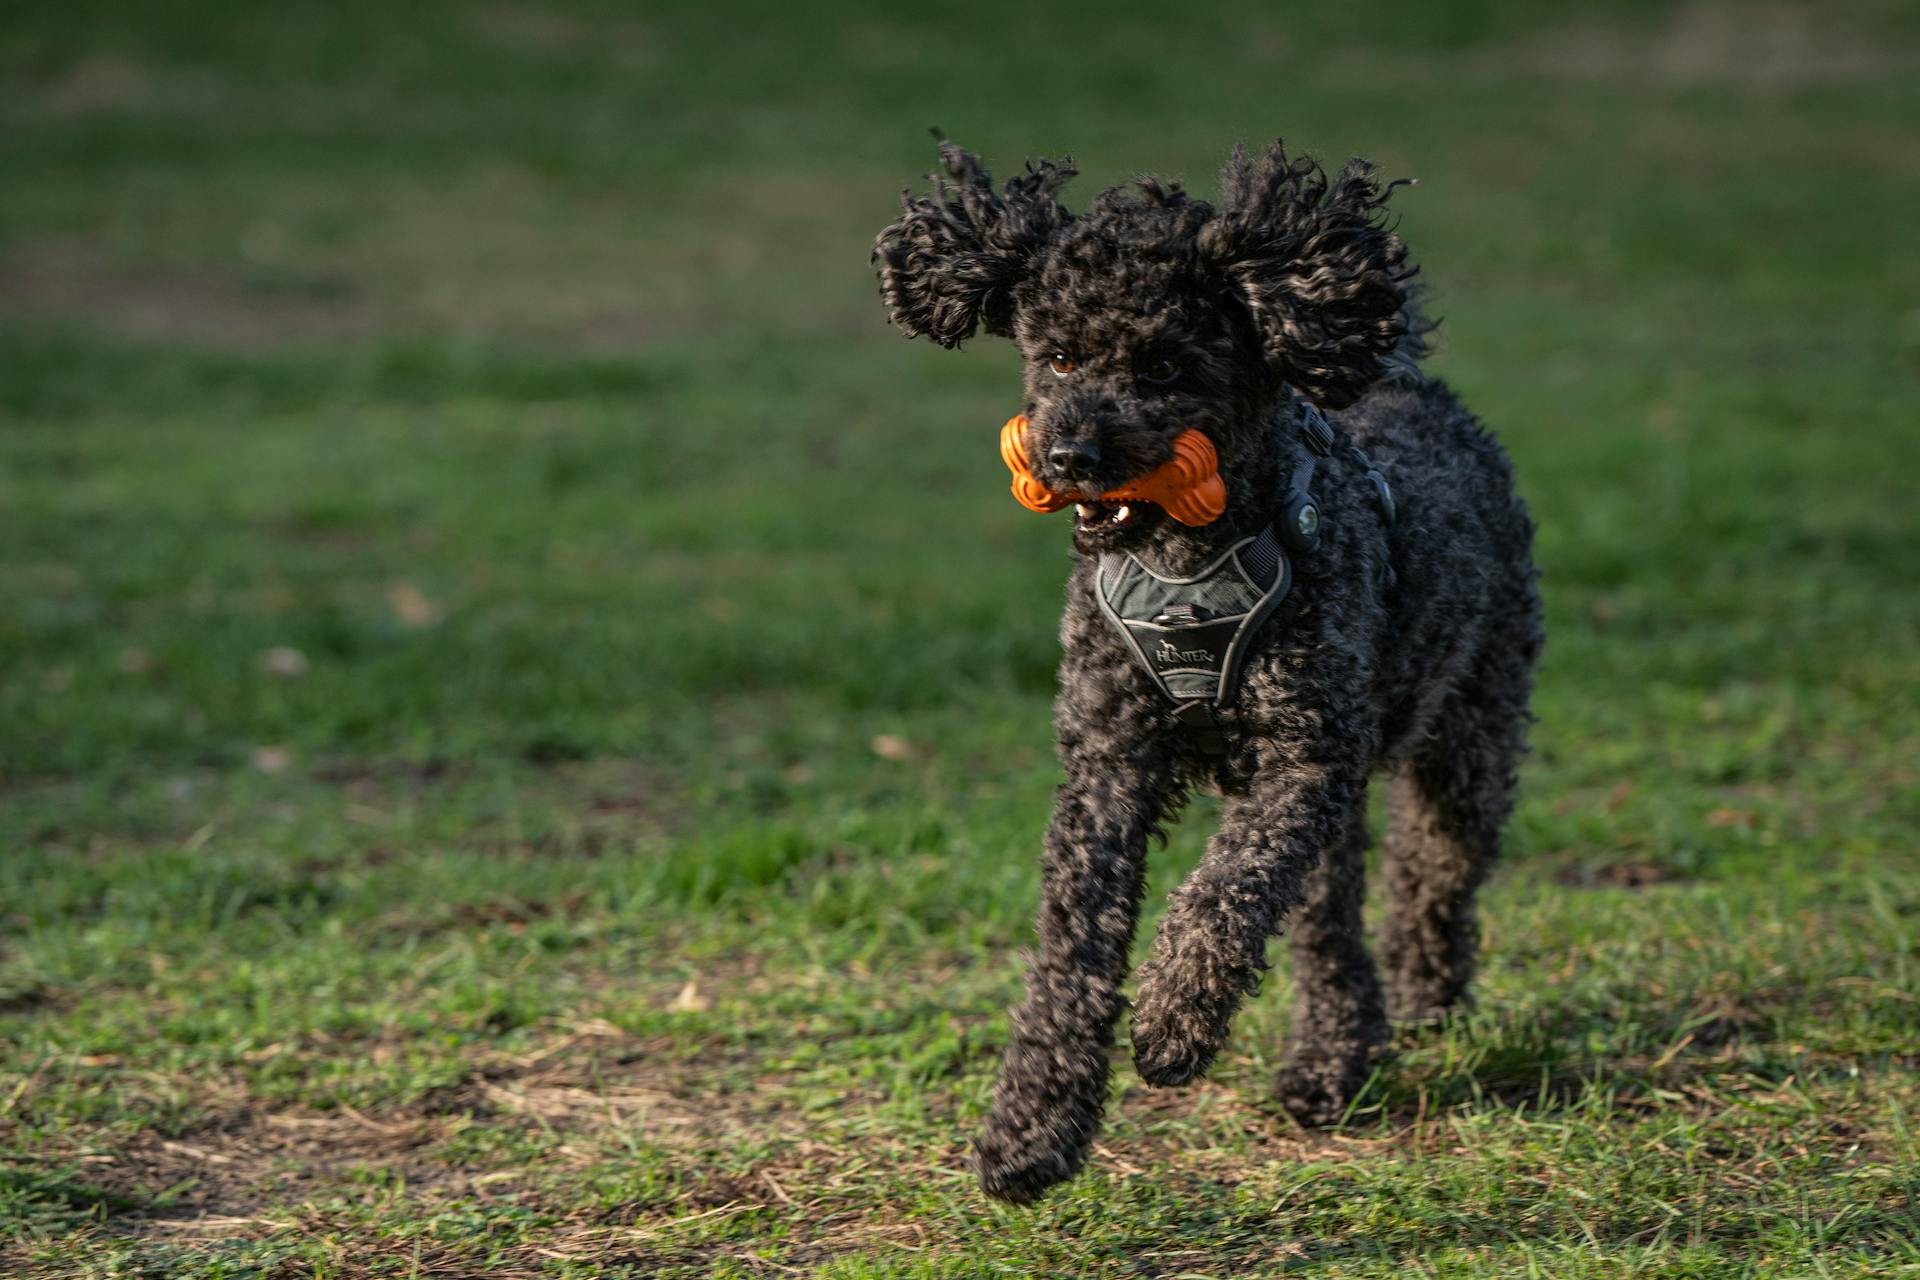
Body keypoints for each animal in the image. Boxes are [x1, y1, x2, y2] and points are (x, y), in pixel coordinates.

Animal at [871, 138, 1543, 1205]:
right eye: (1058, 356)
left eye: (1164, 363)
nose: (1072, 454)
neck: (1187, 567)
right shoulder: (1108, 767)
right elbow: (1072, 952)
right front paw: (1031, 1128)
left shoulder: (1305, 759)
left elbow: (1223, 892)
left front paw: (1174, 1022)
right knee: (1327, 920)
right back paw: (1335, 1056)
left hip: (1469, 731)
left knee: (1434, 869)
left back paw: (1420, 998)